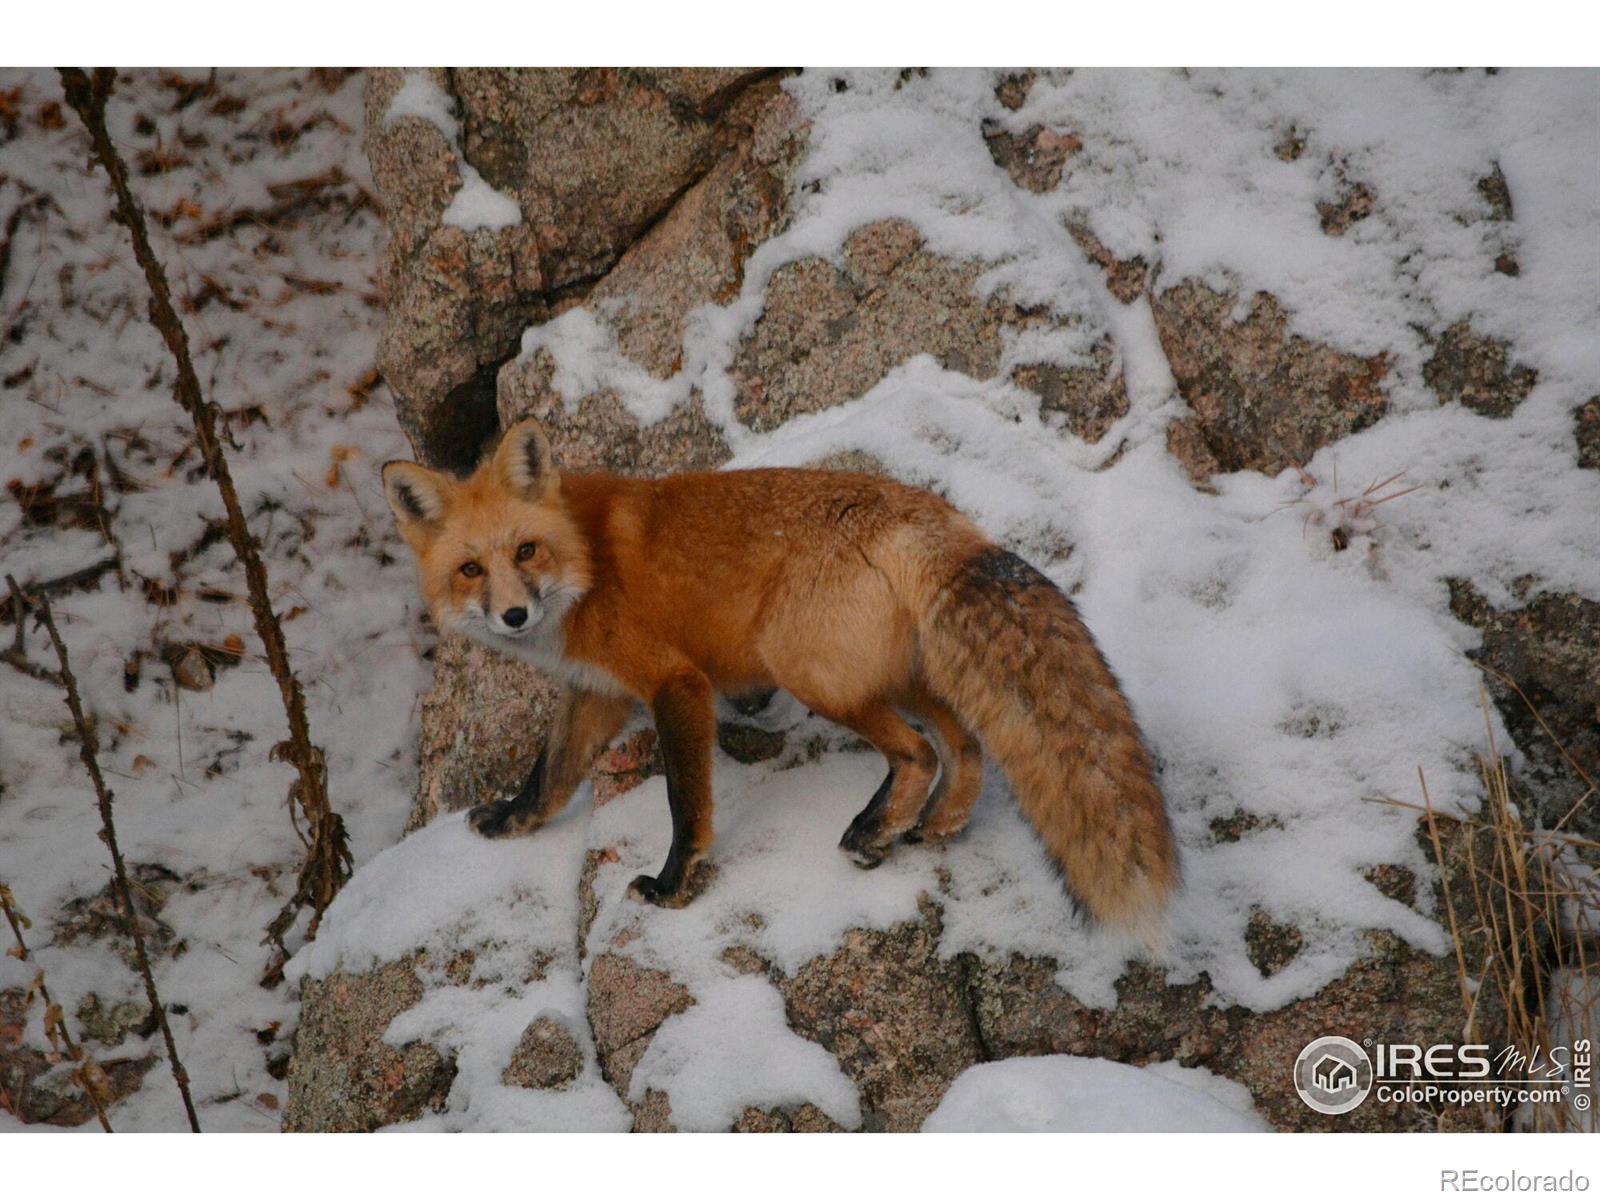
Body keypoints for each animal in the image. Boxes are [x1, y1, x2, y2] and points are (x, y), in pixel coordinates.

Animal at [382, 419, 1184, 953]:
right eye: (470, 570)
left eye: (525, 551)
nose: (515, 615)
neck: (585, 558)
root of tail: (931, 518)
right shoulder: (600, 691)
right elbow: (549, 772)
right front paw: (512, 821)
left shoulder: (674, 682)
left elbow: (685, 803)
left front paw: (672, 886)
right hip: (903, 674)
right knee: (966, 747)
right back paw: (931, 824)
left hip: (810, 670)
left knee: (919, 752)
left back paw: (874, 831)